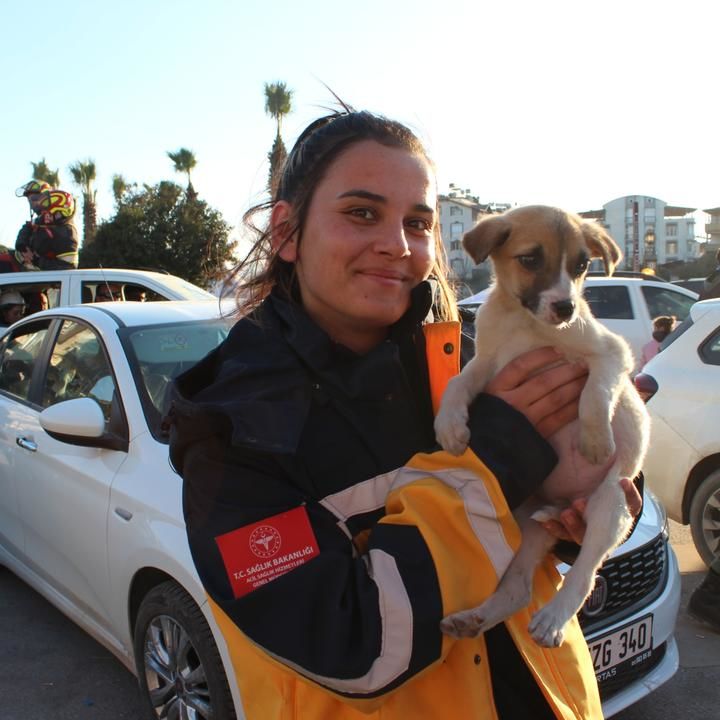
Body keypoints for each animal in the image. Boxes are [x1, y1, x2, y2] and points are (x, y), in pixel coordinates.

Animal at [436, 207, 648, 648]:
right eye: (531, 259)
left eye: (582, 265)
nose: (566, 308)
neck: (526, 324)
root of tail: (560, 504)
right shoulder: (487, 363)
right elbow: (458, 382)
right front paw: (449, 426)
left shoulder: (612, 353)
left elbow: (594, 393)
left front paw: (596, 441)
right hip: (522, 522)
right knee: (517, 589)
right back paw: (473, 618)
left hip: (609, 505)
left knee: (583, 576)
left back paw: (552, 619)